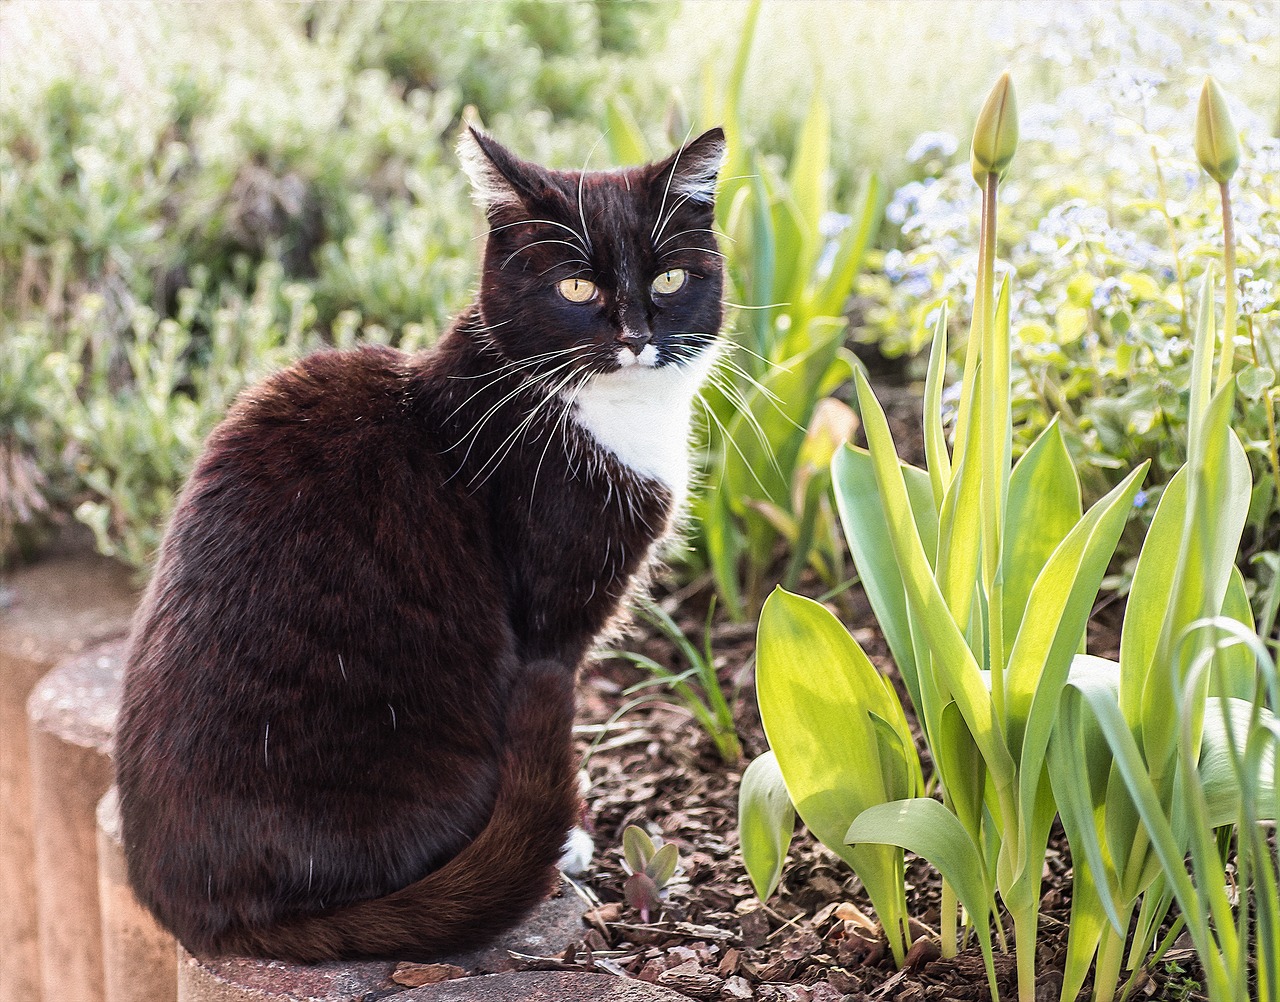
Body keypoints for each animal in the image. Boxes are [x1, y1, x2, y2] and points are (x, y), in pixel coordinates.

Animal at [113, 125, 727, 962]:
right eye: (574, 288)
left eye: (669, 279)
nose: (636, 336)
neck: (608, 416)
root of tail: (200, 917)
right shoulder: (552, 613)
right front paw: (570, 837)